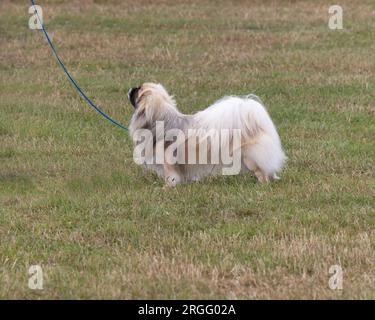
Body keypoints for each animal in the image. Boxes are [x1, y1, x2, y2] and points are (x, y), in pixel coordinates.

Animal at [128, 83, 286, 188]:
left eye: (138, 90)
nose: (131, 88)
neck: (161, 120)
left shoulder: (169, 163)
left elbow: (171, 177)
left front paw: (166, 188)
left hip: (249, 157)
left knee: (262, 172)